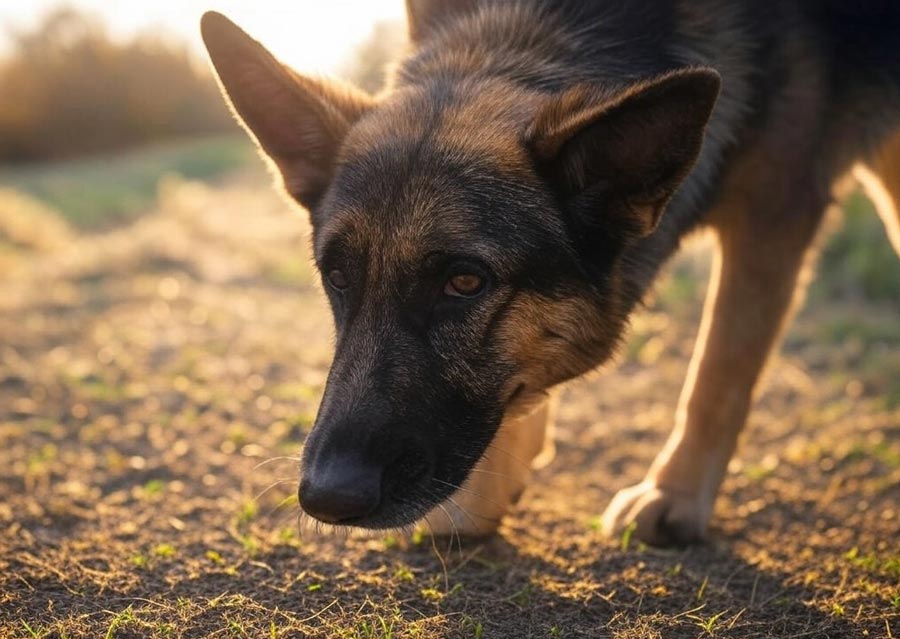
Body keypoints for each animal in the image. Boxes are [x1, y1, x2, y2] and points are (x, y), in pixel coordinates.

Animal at [200, 2, 900, 548]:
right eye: (339, 277)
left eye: (464, 282)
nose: (326, 499)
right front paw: (493, 484)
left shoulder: (773, 213)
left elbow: (717, 372)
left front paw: (675, 495)